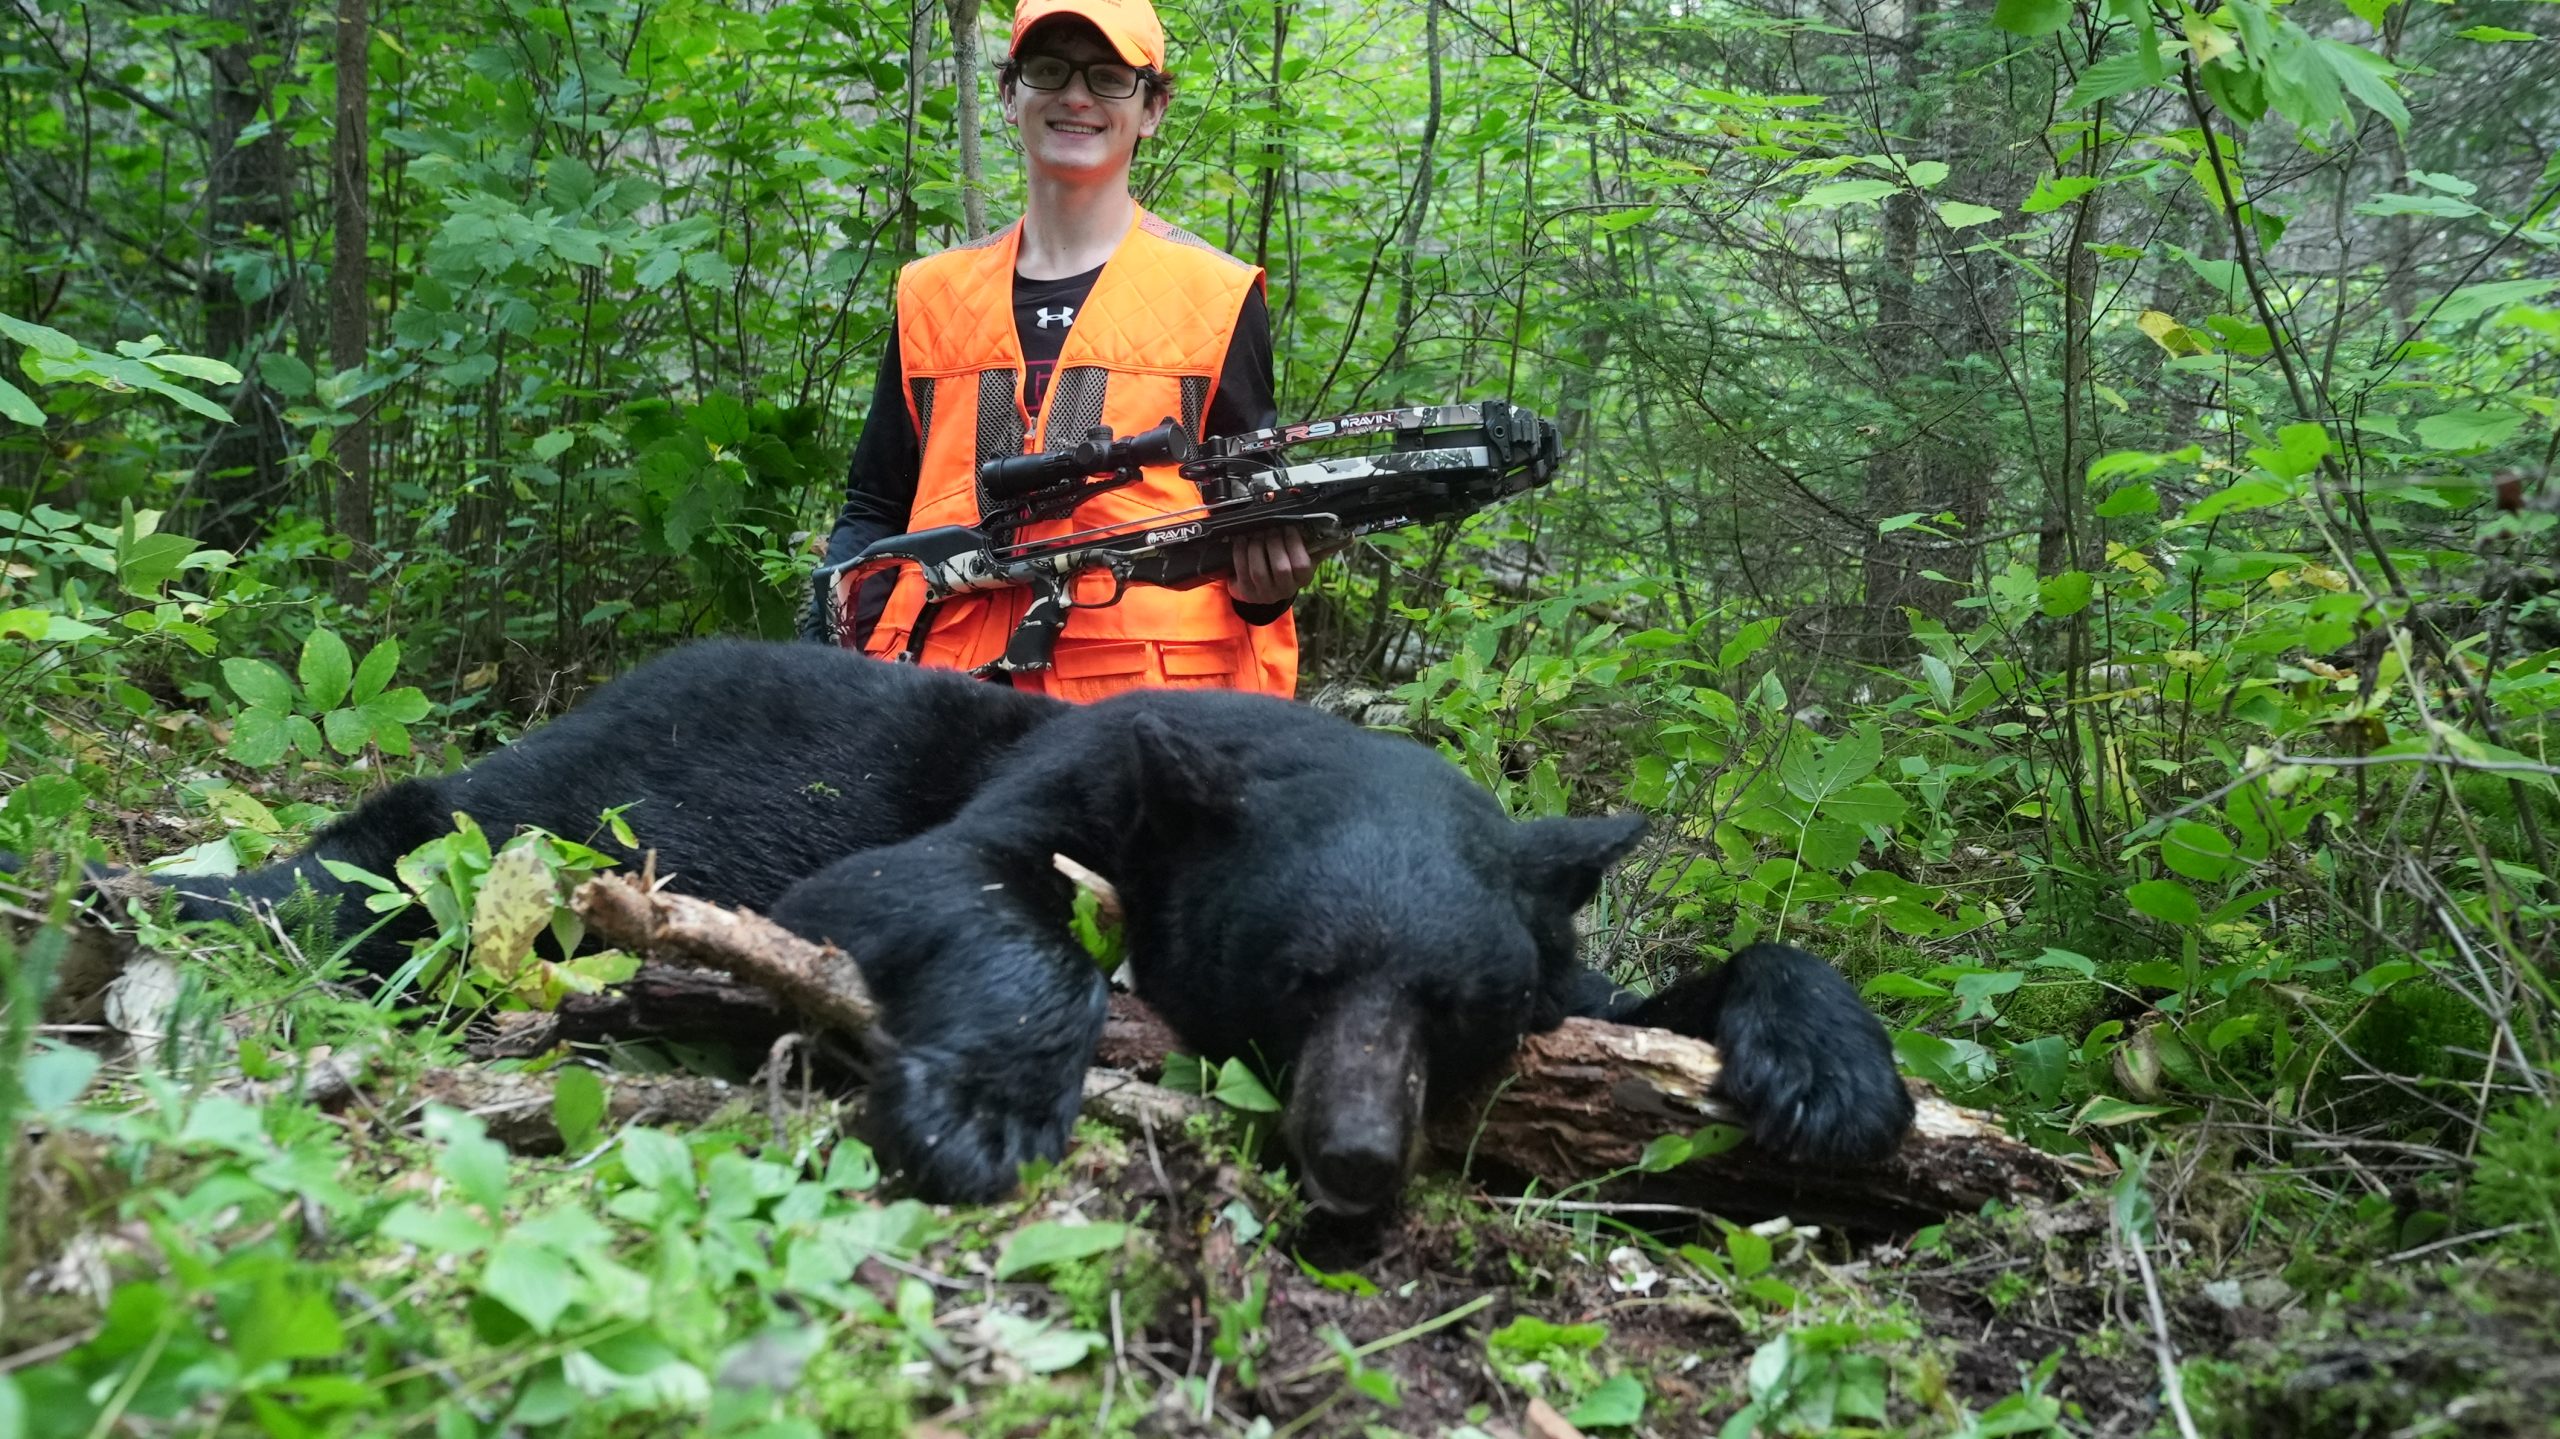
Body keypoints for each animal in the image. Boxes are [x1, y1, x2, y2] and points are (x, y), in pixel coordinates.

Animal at [134, 639, 1914, 1211]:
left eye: (1456, 1004)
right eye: (1296, 977)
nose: (1354, 1155)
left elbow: (1664, 985)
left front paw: (1834, 1073)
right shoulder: (1067, 774)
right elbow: (920, 888)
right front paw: (978, 1105)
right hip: (530, 824)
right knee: (383, 861)